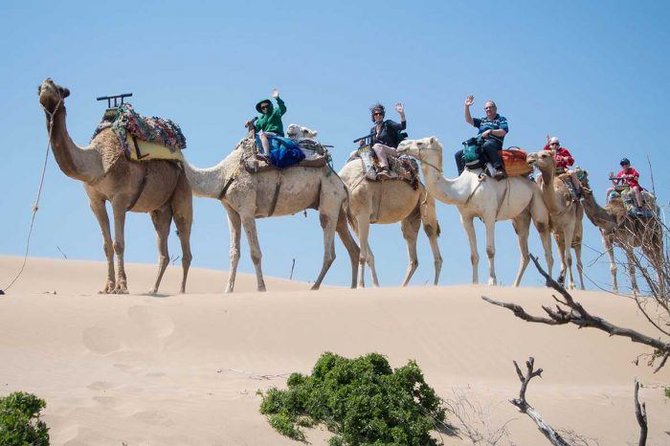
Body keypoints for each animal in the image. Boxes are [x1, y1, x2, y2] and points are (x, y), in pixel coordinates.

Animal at [38, 78, 193, 294]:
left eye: (60, 89)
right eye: (39, 88)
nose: (46, 84)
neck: (98, 161)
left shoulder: (120, 198)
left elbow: (118, 243)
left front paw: (122, 286)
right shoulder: (95, 201)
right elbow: (106, 245)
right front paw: (108, 287)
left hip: (182, 190)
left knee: (185, 238)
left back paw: (181, 291)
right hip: (159, 209)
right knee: (164, 249)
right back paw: (153, 290)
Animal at [184, 138, 360, 294]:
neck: (224, 175)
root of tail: (342, 184)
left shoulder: (247, 209)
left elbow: (255, 253)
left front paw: (261, 288)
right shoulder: (232, 212)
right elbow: (234, 253)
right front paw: (228, 290)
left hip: (330, 198)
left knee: (329, 251)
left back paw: (315, 287)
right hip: (337, 209)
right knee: (352, 248)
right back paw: (353, 288)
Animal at [338, 159, 444, 288]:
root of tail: (423, 186)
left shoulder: (363, 215)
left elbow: (362, 256)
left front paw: (361, 286)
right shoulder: (353, 221)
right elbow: (369, 256)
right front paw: (375, 286)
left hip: (427, 203)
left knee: (432, 237)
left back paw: (434, 286)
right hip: (411, 217)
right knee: (413, 254)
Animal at [400, 136, 556, 286]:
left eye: (420, 143)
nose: (401, 144)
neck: (464, 188)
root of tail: (532, 180)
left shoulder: (489, 215)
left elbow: (490, 250)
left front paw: (492, 281)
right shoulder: (466, 218)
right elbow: (473, 255)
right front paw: (474, 283)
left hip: (538, 201)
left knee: (546, 245)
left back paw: (550, 283)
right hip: (520, 217)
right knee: (525, 253)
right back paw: (515, 286)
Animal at [528, 150, 584, 290]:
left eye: (544, 155)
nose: (530, 158)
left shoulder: (568, 225)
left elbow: (569, 259)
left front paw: (572, 285)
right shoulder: (547, 227)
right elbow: (549, 257)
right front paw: (549, 283)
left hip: (578, 232)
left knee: (578, 261)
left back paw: (581, 287)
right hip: (559, 237)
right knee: (563, 258)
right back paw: (561, 281)